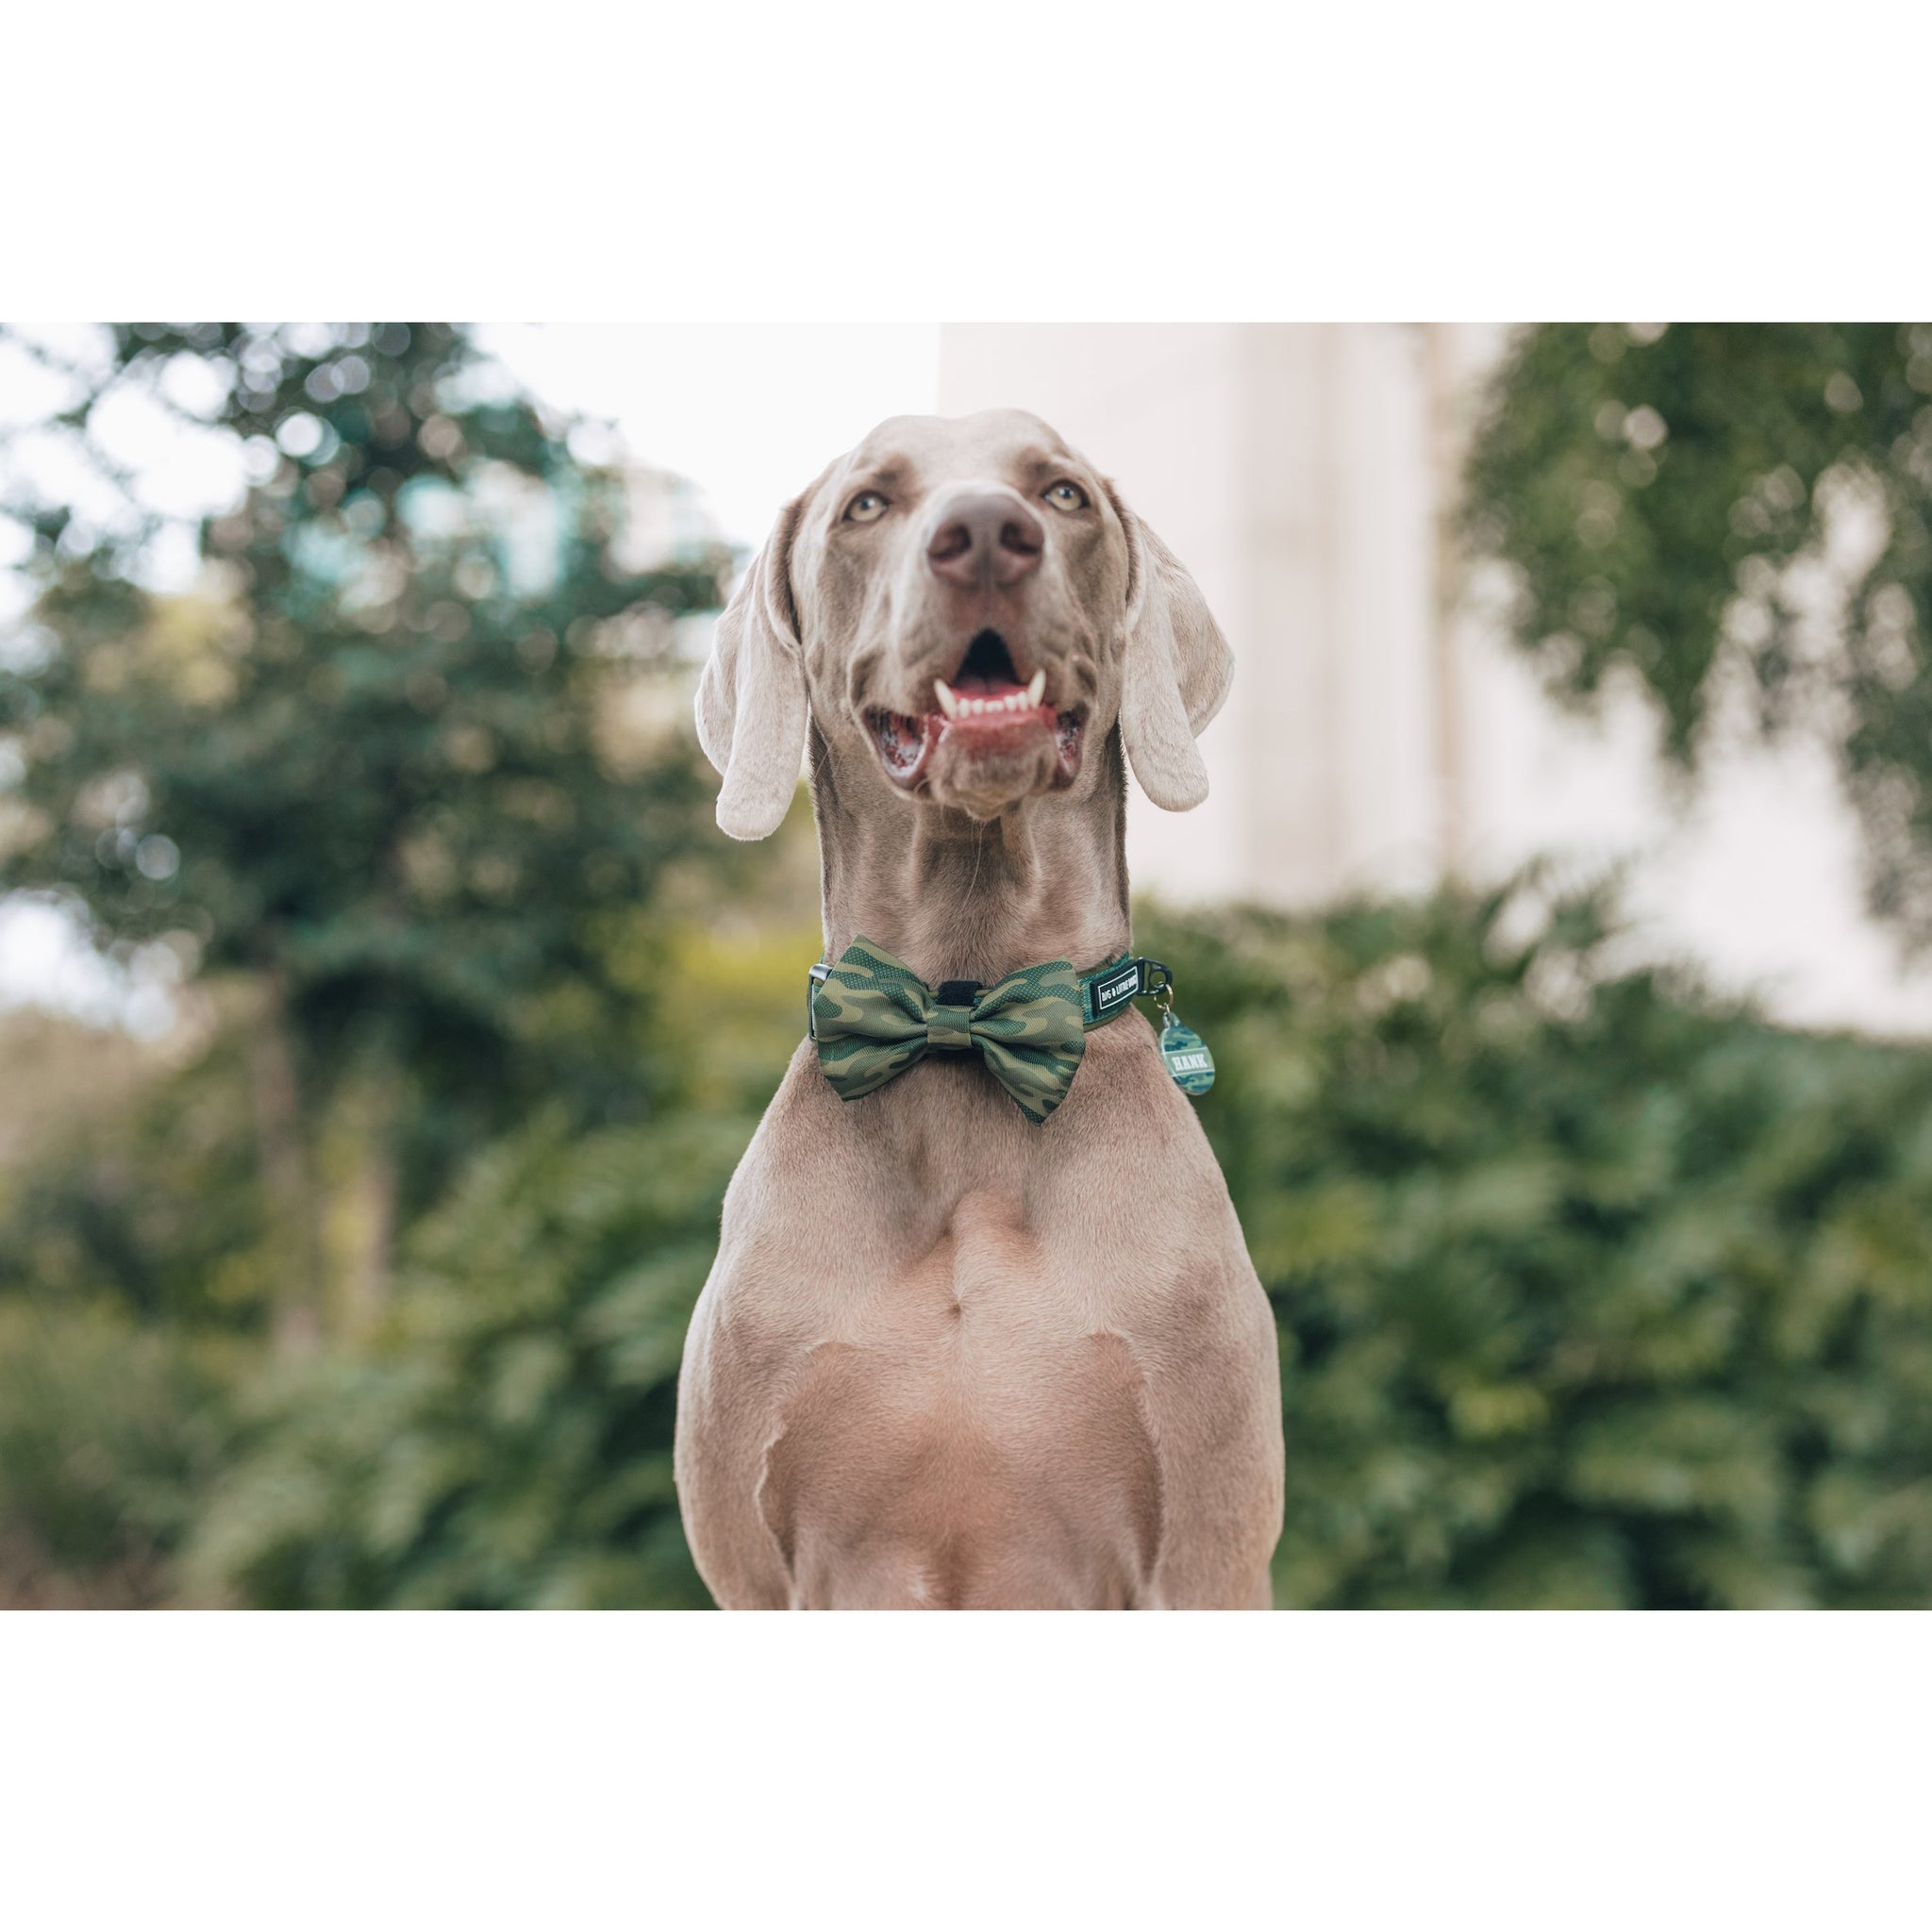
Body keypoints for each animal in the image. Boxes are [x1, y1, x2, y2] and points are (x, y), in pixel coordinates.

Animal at [675, 404, 1282, 1599]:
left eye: (1061, 493)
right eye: (867, 503)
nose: (989, 536)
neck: (963, 1014)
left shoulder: (1207, 1557)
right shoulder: (760, 1572)